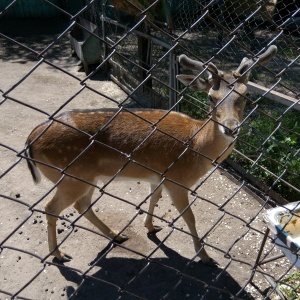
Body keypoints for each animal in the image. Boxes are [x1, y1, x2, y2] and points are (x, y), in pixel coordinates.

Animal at [24, 45, 278, 264]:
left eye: (245, 95)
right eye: (210, 97)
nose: (231, 128)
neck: (197, 146)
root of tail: (30, 141)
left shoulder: (159, 176)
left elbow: (153, 198)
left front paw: (151, 227)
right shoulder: (177, 180)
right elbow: (189, 217)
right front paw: (205, 256)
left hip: (84, 177)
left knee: (81, 204)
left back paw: (116, 235)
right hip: (70, 175)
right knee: (51, 208)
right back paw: (59, 254)